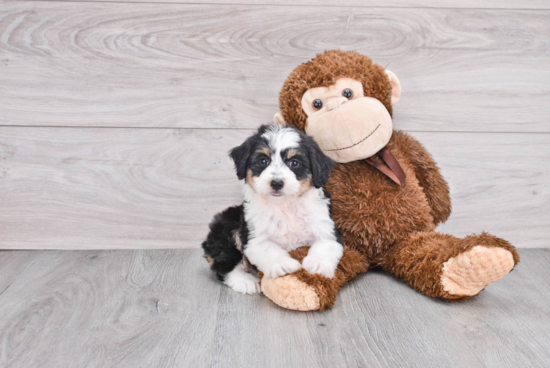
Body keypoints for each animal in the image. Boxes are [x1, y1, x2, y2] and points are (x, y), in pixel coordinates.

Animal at [203, 125, 344, 294]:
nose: (276, 183)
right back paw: (245, 281)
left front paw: (317, 264)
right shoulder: (254, 235)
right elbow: (268, 249)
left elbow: (326, 244)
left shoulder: (326, 226)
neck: (285, 206)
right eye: (263, 161)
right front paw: (283, 265)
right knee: (224, 264)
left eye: (294, 163)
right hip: (227, 228)